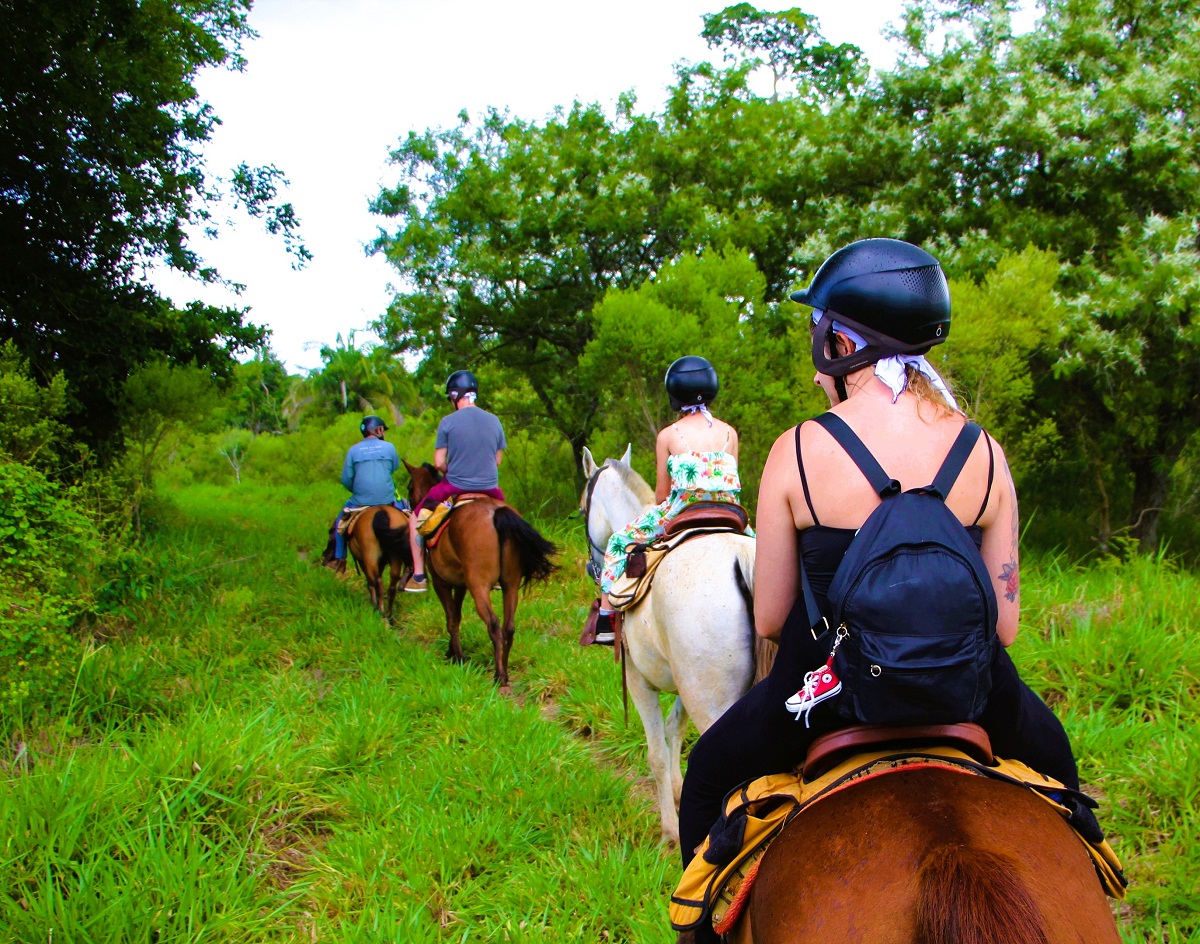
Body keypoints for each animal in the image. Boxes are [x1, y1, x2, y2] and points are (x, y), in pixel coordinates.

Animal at [400, 460, 554, 695]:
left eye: (409, 487)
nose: (410, 507)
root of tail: (496, 513)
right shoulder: (461, 584)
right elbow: (456, 616)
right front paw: (452, 652)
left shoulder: (441, 582)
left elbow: (451, 618)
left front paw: (457, 657)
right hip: (510, 584)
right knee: (508, 626)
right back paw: (505, 670)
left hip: (479, 585)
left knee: (493, 624)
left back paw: (499, 676)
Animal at [576, 446, 753, 844]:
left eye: (581, 509)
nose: (592, 569)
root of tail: (742, 562)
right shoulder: (683, 687)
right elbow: (675, 729)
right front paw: (678, 790)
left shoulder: (638, 682)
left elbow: (655, 753)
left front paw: (671, 830)